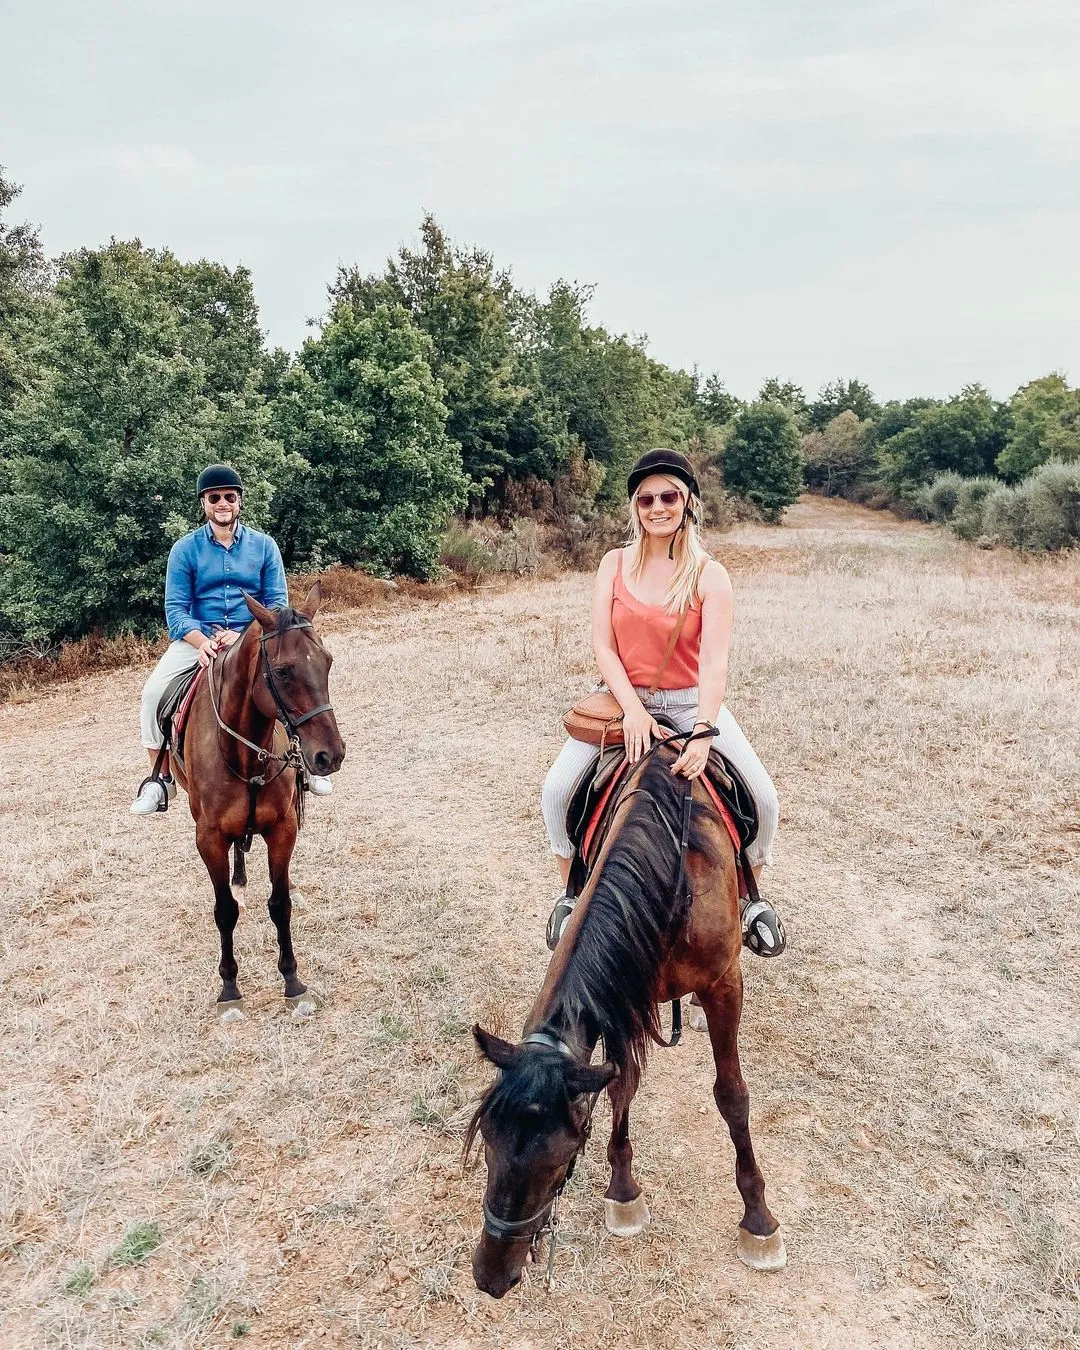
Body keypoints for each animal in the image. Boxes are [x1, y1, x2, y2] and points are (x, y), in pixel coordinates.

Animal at [170, 582, 345, 1019]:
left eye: (328, 662)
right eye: (282, 671)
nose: (330, 755)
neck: (243, 754)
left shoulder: (282, 829)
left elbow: (280, 904)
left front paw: (293, 982)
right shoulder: (209, 839)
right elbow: (224, 911)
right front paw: (230, 989)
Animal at [467, 737, 784, 1298]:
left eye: (559, 1159)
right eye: (487, 1141)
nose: (491, 1276)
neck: (672, 880)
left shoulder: (724, 984)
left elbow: (732, 1095)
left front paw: (758, 1220)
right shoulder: (623, 995)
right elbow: (621, 1085)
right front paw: (623, 1193)